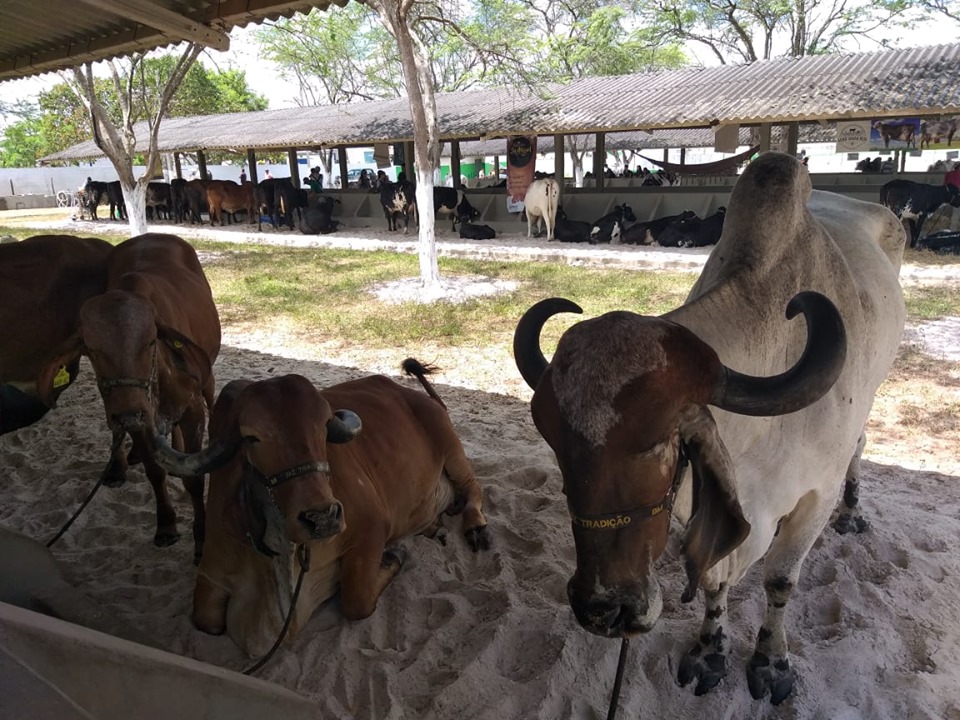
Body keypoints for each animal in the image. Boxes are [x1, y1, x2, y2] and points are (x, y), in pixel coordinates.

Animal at [37, 234, 222, 562]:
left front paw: (201, 539)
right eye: (91, 349)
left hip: (207, 376)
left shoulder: (191, 410)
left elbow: (194, 479)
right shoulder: (137, 415)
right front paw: (166, 525)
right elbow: (154, 472)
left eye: (150, 341)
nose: (127, 415)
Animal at [160, 359, 491, 657]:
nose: (322, 518)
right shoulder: (212, 571)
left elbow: (356, 602)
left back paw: (475, 527)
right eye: (251, 437)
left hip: (450, 446)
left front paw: (393, 555)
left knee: (474, 489)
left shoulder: (372, 529)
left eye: (323, 427)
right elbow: (206, 620)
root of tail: (417, 397)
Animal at [512, 152, 905, 705]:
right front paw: (709, 652)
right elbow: (716, 581)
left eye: (660, 442)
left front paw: (771, 661)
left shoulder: (814, 497)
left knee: (862, 444)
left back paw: (853, 512)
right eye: (555, 445)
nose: (604, 610)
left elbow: (780, 580)